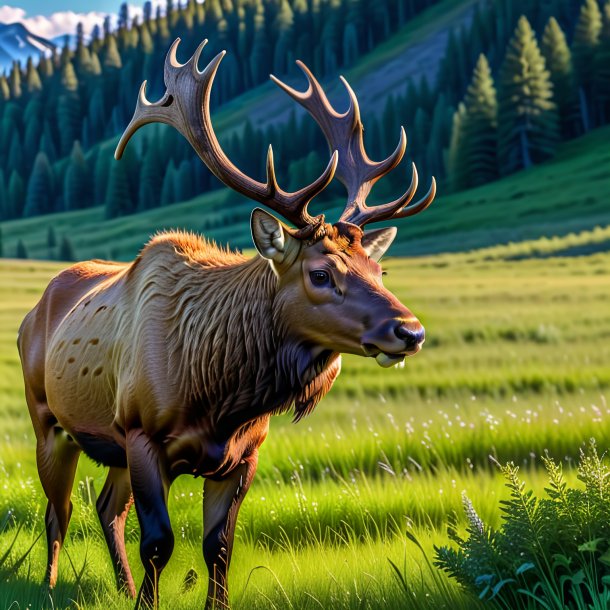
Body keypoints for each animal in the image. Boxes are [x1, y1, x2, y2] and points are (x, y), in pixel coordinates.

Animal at [17, 39, 432, 608]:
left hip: (111, 443)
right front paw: (147, 601)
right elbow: (159, 542)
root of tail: (32, 312)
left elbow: (218, 547)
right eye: (321, 273)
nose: (409, 330)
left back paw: (122, 587)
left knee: (106, 508)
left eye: (379, 269)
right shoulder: (143, 432)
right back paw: (52, 585)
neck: (221, 397)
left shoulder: (243, 454)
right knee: (59, 513)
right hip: (49, 421)